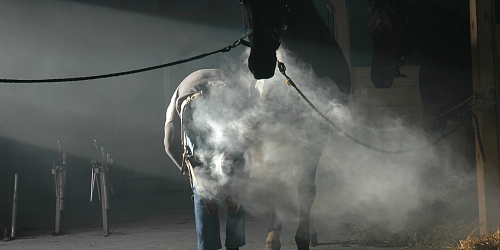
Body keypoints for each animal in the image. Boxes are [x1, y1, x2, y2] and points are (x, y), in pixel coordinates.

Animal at [239, 0, 350, 248]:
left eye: (278, 3)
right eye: (242, 3)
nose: (260, 64)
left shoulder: (317, 131)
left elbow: (307, 189)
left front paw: (303, 238)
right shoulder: (265, 133)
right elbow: (274, 183)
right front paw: (273, 236)